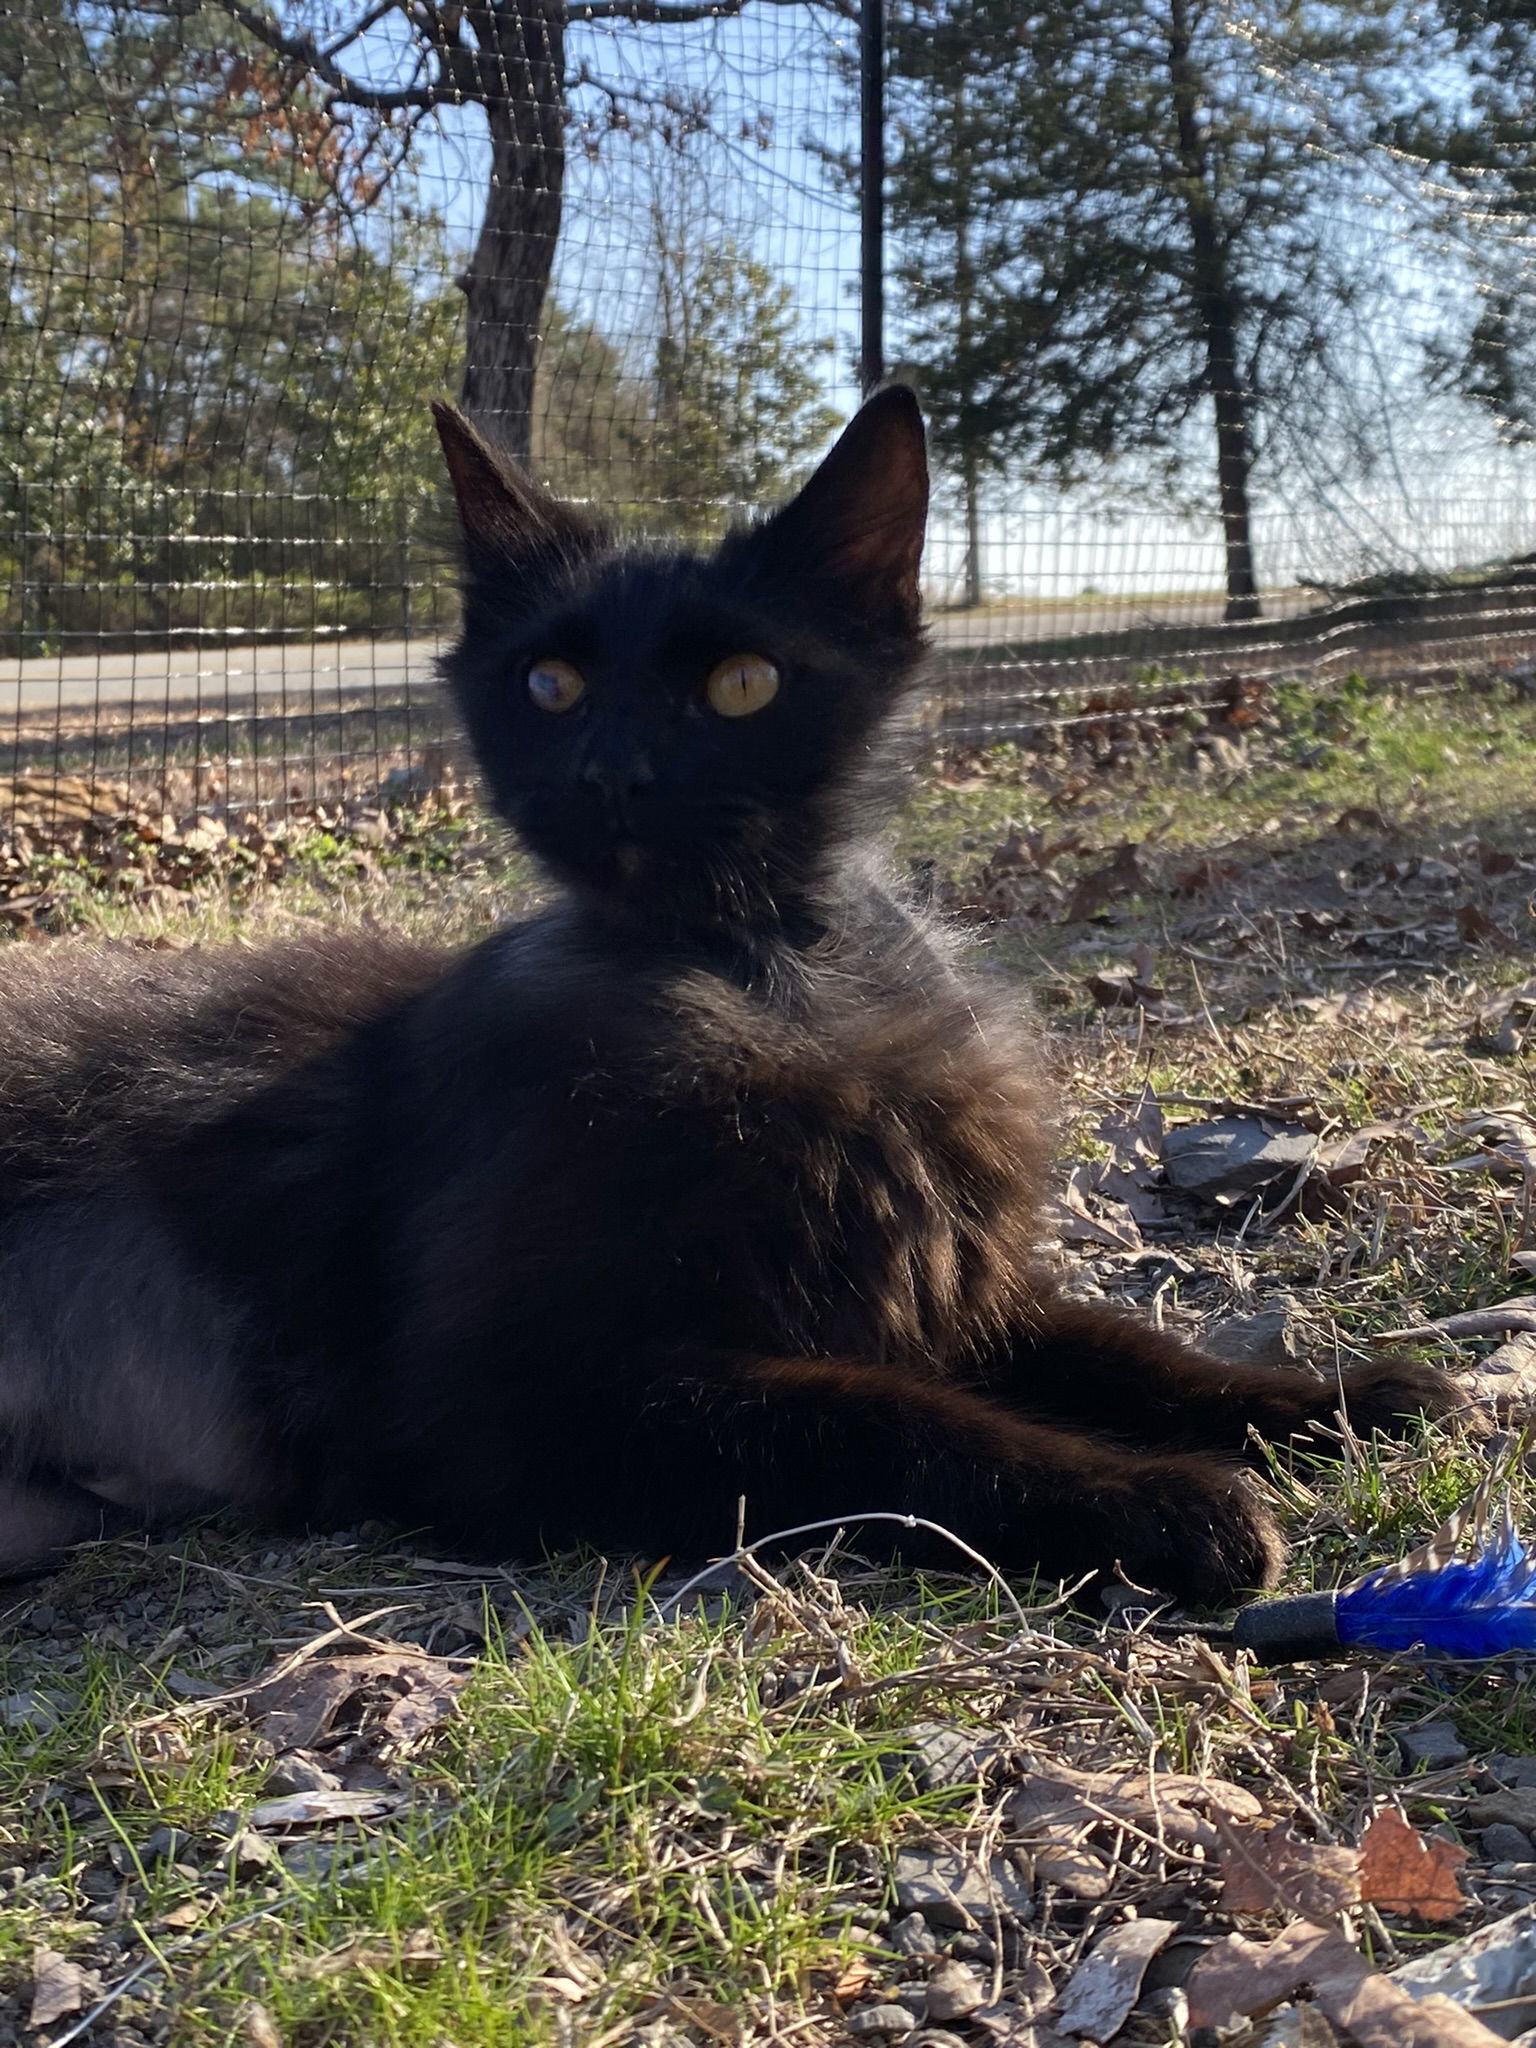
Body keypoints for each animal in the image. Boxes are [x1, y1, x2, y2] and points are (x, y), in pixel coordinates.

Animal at [0, 387, 1458, 1597]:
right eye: (550, 683)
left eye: (742, 684)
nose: (615, 771)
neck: (772, 980)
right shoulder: (515, 1402)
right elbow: (894, 1426)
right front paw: (1163, 1504)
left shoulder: (951, 1286)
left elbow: (1125, 1350)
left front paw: (1338, 1398)